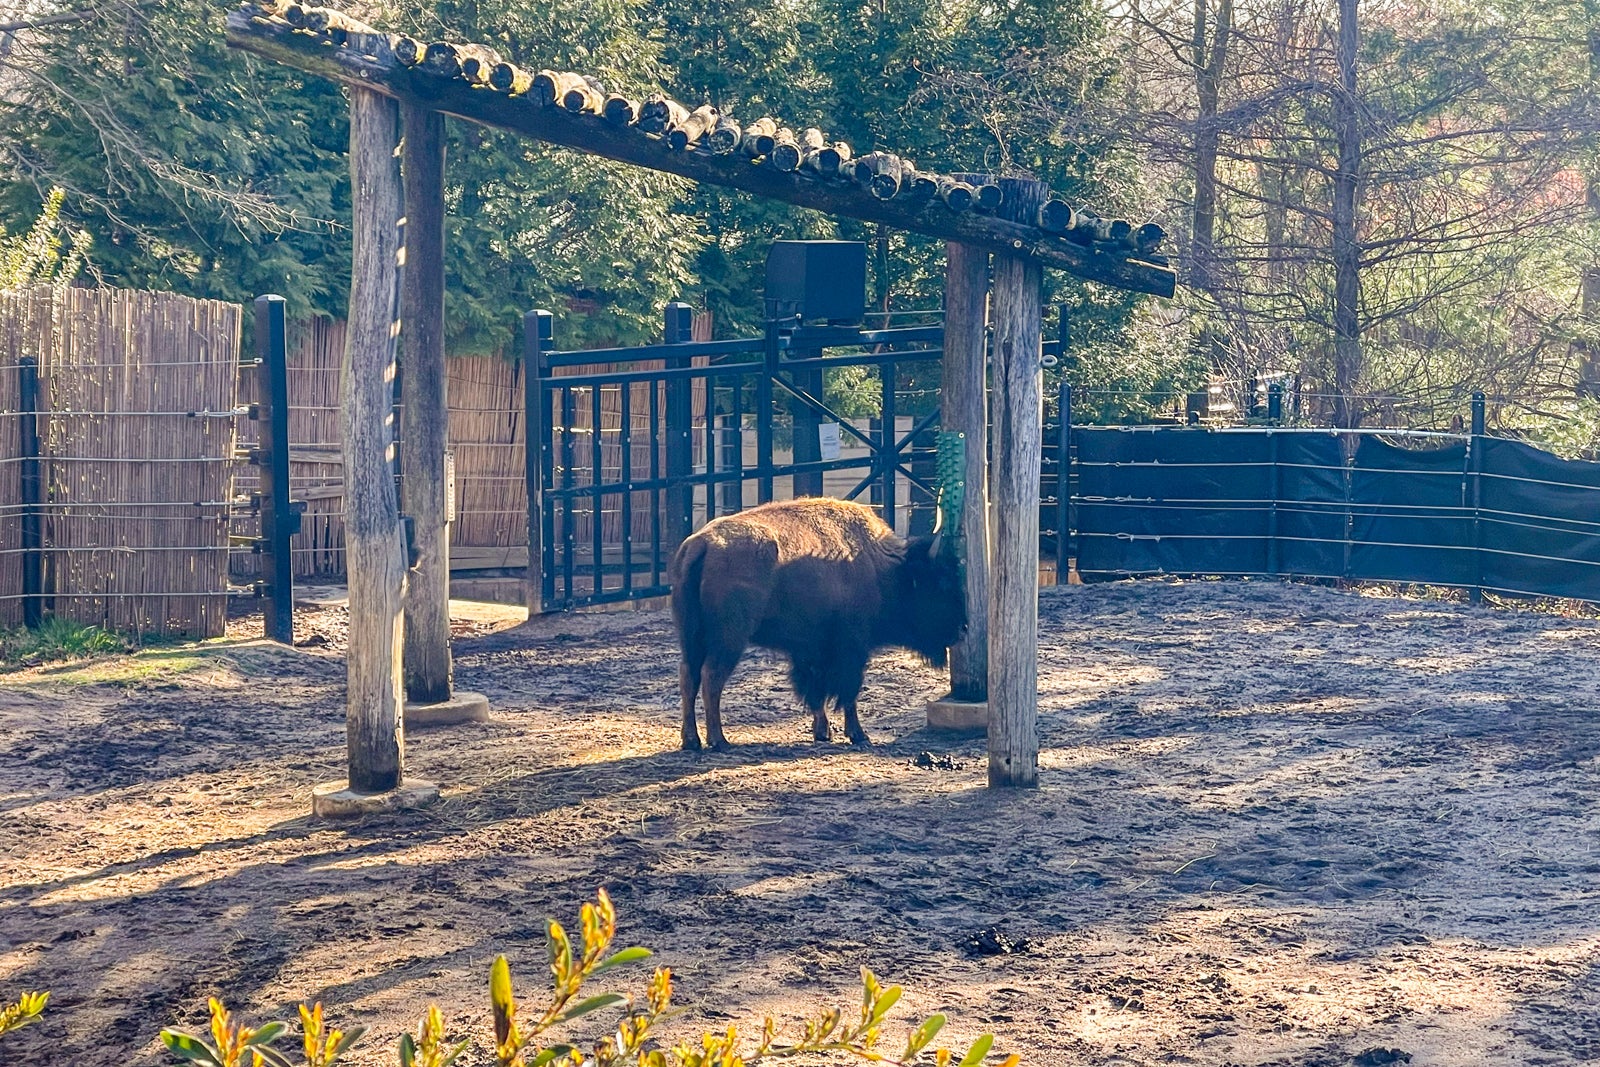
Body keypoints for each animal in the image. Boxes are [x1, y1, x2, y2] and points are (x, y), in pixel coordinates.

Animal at [662, 495, 960, 751]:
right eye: (941, 583)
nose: (962, 628)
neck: (880, 567)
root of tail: (700, 544)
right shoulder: (851, 647)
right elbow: (848, 692)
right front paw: (859, 735)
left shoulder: (809, 648)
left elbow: (815, 691)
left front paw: (822, 732)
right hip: (730, 639)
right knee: (711, 677)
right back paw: (719, 740)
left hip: (692, 637)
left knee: (688, 676)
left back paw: (692, 740)